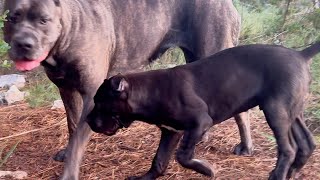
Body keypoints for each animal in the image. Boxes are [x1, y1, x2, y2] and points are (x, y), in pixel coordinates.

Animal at [2, 0, 246, 179]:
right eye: (12, 18)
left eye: (44, 20)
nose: (23, 44)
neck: (70, 27)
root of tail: (227, 3)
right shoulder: (67, 90)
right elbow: (72, 125)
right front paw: (67, 150)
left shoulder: (91, 95)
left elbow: (78, 139)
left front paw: (69, 172)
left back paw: (245, 147)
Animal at [88, 43, 320, 179]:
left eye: (99, 102)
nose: (88, 120)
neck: (151, 92)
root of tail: (300, 54)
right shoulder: (171, 131)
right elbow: (160, 159)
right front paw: (146, 178)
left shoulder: (200, 122)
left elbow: (183, 155)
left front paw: (206, 169)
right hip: (291, 112)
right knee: (306, 143)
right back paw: (291, 173)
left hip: (275, 111)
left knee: (288, 149)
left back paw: (279, 174)